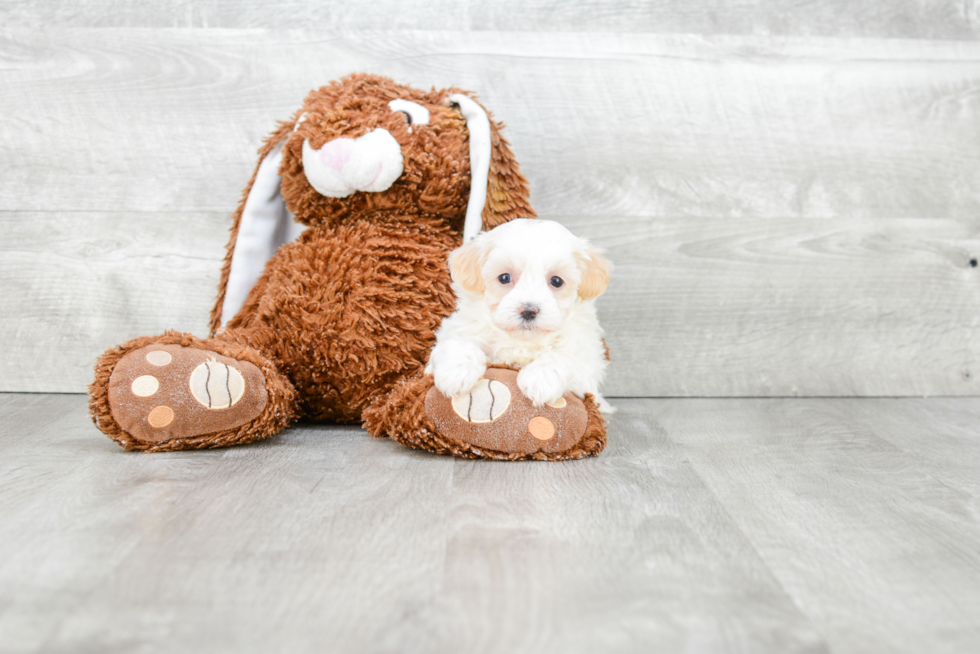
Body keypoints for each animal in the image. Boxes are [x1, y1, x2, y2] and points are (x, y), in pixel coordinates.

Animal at [426, 220, 612, 416]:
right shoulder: (458, 328)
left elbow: (565, 356)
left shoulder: (588, 359)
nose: (529, 310)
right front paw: (457, 371)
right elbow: (458, 343)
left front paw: (541, 379)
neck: (522, 342)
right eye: (504, 278)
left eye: (556, 281)